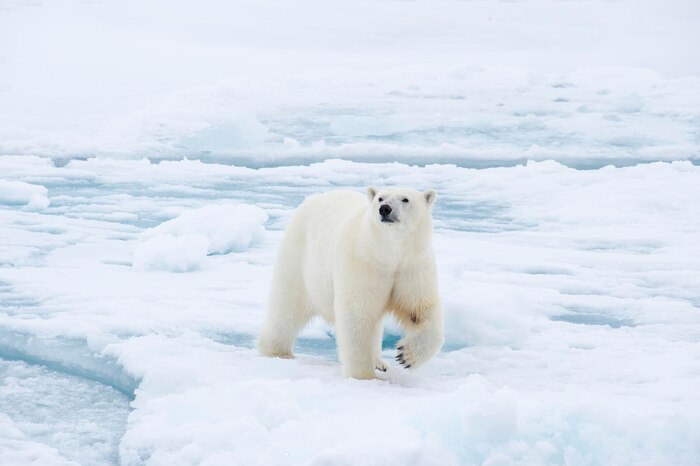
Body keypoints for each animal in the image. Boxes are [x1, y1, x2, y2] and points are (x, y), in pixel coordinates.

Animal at [257, 186, 444, 379]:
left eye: (405, 199)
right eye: (380, 198)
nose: (385, 209)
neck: (388, 255)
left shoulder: (412, 266)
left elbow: (419, 309)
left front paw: (405, 356)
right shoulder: (363, 262)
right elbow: (358, 314)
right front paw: (363, 376)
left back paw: (379, 362)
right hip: (299, 255)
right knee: (287, 306)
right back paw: (277, 352)